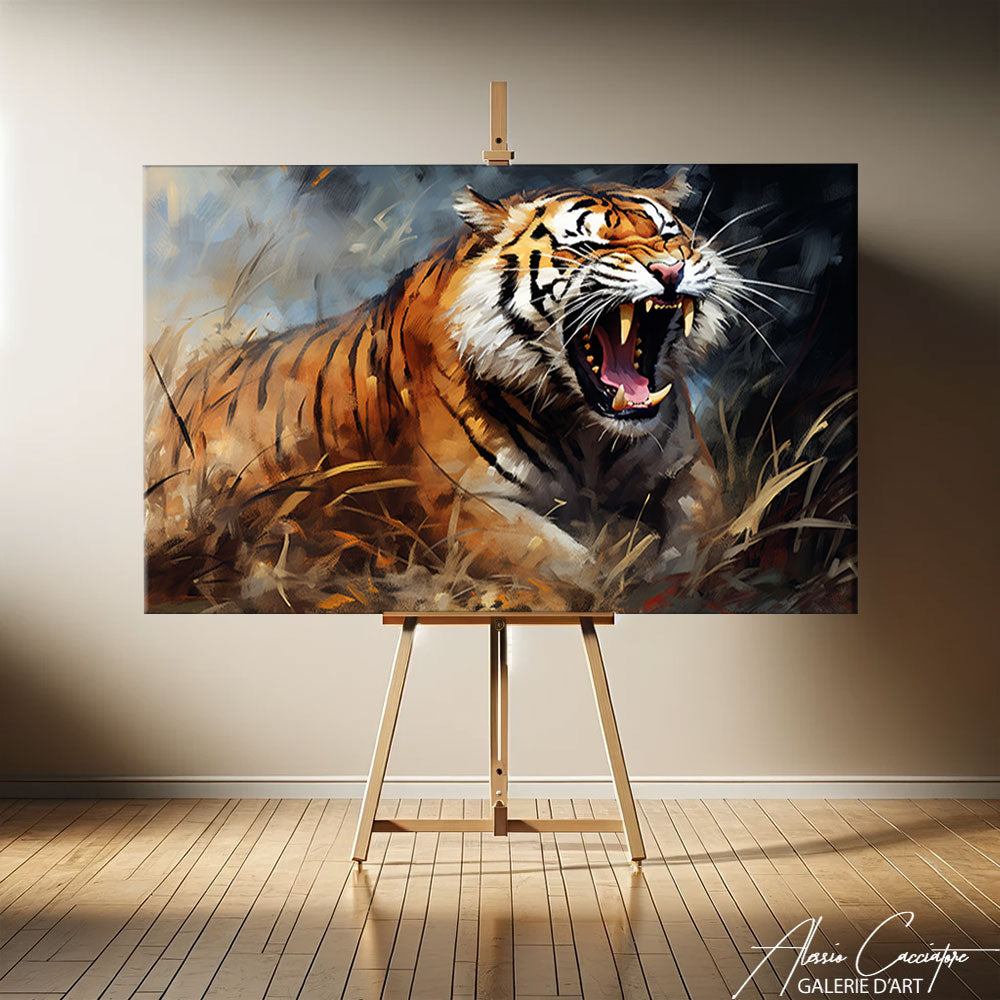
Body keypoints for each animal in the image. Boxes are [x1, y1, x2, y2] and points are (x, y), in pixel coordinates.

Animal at [145, 172, 741, 610]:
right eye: (590, 242)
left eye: (670, 235)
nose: (672, 267)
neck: (588, 431)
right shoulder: (460, 500)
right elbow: (570, 564)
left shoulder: (688, 468)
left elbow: (699, 540)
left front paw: (674, 584)